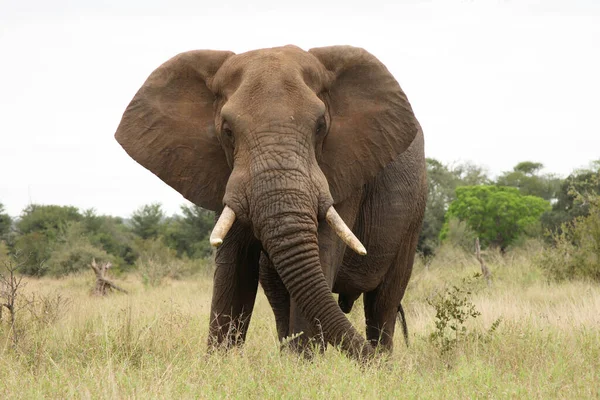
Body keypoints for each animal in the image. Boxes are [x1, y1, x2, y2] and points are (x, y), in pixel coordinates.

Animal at [115, 43, 428, 360]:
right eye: (227, 130)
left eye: (320, 126)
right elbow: (234, 267)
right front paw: (221, 363)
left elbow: (323, 252)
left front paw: (306, 366)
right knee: (280, 295)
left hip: (414, 215)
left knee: (383, 303)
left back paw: (379, 357)